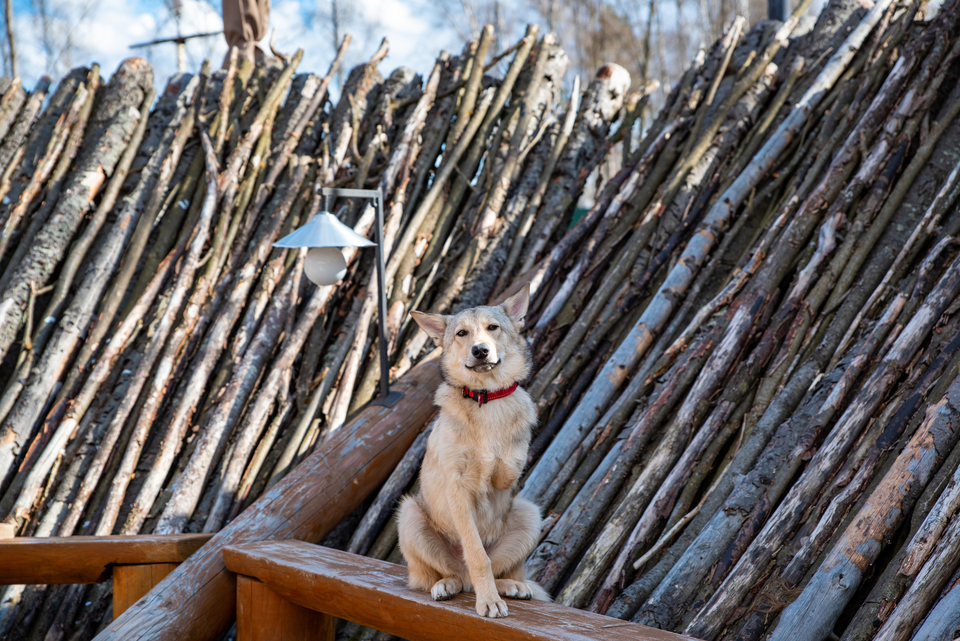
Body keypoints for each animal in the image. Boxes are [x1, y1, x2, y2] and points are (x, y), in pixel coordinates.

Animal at [396, 284, 548, 616]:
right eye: (461, 333)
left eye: (493, 328)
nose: (480, 350)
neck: (486, 398)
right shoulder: (458, 487)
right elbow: (478, 557)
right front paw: (488, 602)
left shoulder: (507, 474)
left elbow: (507, 459)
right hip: (409, 514)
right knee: (445, 574)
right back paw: (448, 586)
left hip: (529, 512)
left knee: (502, 569)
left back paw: (513, 586)